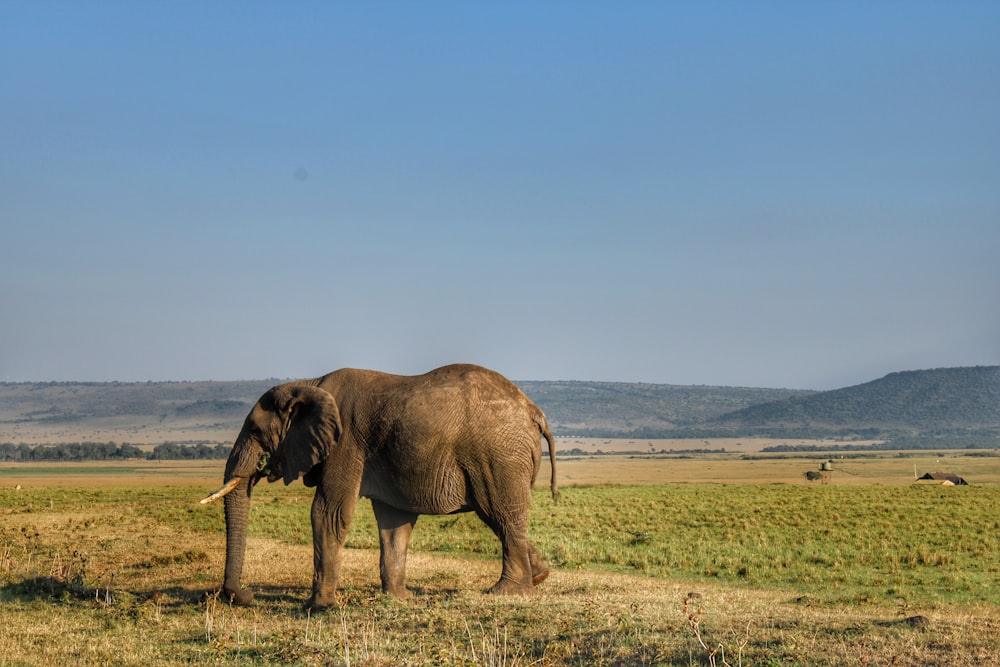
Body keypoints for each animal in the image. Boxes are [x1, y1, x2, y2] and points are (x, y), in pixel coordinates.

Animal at [199, 362, 560, 608]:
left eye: (255, 431)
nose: (242, 595)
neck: (310, 385)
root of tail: (534, 411)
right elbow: (394, 524)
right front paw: (399, 597)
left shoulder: (345, 443)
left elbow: (328, 514)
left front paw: (316, 607)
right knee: (501, 518)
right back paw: (538, 575)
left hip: (498, 457)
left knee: (499, 514)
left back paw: (507, 591)